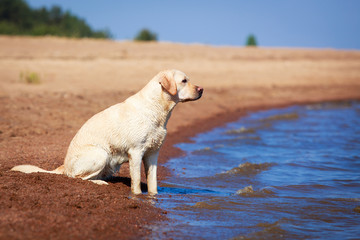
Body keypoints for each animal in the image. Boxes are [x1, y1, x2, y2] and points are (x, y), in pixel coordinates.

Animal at [11, 70, 202, 195]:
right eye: (184, 80)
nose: (202, 89)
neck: (157, 109)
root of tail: (64, 166)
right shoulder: (136, 152)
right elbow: (136, 184)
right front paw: (137, 197)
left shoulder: (153, 154)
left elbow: (153, 183)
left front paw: (153, 197)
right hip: (100, 154)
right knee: (77, 178)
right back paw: (99, 183)